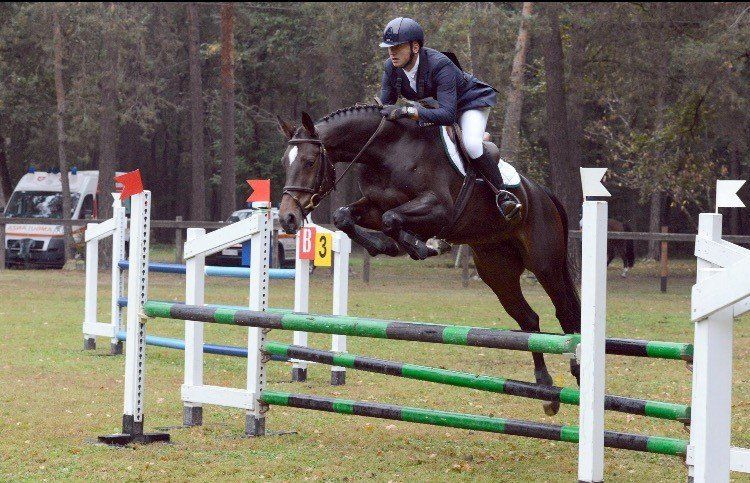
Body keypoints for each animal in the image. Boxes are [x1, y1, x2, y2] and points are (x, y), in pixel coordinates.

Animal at [277, 105, 581, 416]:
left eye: (309, 162)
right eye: (285, 163)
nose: (288, 218)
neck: (387, 151)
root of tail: (543, 193)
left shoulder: (439, 209)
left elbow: (391, 219)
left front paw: (424, 246)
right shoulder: (374, 206)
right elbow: (346, 217)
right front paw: (392, 245)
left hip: (545, 266)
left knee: (566, 313)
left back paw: (577, 370)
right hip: (497, 272)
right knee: (529, 319)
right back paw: (545, 388)